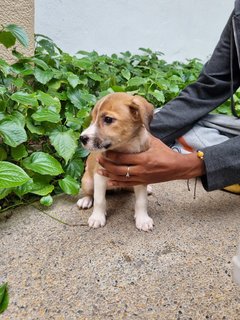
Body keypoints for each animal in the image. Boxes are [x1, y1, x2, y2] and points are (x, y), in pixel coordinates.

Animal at [78, 91, 155, 231]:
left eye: (108, 119)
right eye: (92, 118)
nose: (82, 138)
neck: (124, 149)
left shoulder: (140, 174)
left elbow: (141, 201)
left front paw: (143, 219)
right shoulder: (99, 175)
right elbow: (99, 199)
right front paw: (97, 218)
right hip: (87, 181)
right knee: (90, 193)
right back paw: (85, 200)